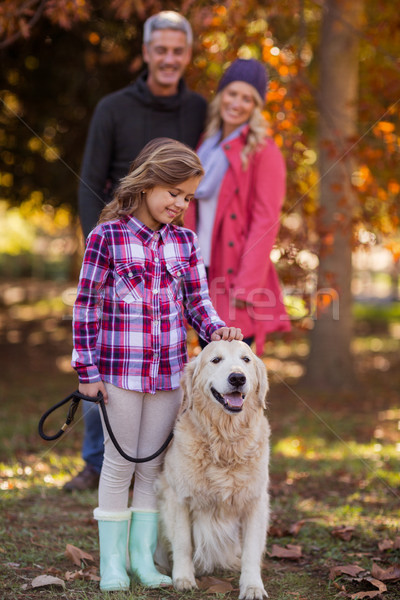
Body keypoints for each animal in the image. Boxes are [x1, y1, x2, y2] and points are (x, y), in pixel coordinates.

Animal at [155, 342, 268, 600]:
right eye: (216, 360)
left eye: (246, 359)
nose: (237, 378)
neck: (225, 441)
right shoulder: (178, 498)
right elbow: (183, 543)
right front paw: (183, 578)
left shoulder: (256, 501)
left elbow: (251, 550)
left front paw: (252, 586)